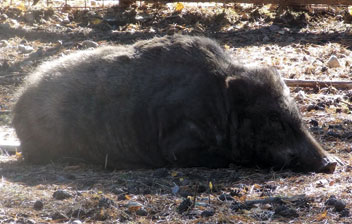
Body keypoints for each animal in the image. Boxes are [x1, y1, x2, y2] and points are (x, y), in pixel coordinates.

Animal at [13, 34, 338, 173]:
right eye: (273, 118)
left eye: (296, 114)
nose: (331, 162)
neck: (219, 106)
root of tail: (19, 100)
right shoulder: (178, 143)